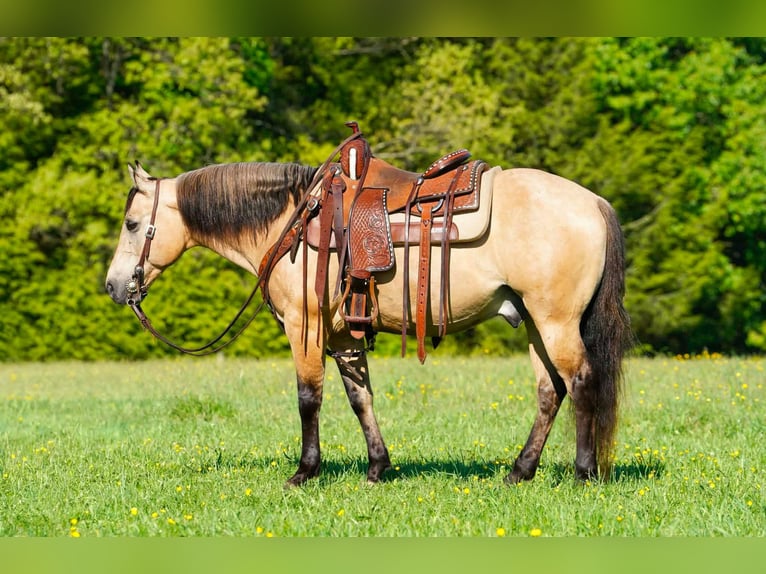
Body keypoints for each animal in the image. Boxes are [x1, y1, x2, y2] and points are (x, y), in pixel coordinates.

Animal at [105, 152, 631, 487]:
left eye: (132, 224)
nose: (113, 286)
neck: (291, 221)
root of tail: (592, 201)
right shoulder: (342, 335)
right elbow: (360, 398)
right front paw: (378, 467)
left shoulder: (305, 326)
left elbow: (309, 398)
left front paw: (305, 471)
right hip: (536, 323)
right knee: (550, 392)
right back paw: (519, 472)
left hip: (556, 321)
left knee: (581, 383)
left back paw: (583, 473)